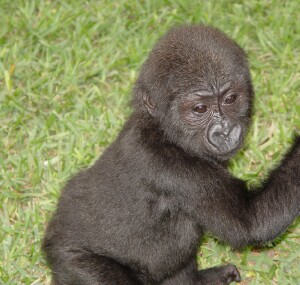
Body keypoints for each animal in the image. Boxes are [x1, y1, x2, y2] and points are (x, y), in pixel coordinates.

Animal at [43, 25, 300, 284]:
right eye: (200, 109)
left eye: (230, 99)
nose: (225, 132)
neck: (163, 131)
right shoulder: (174, 168)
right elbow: (251, 223)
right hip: (74, 262)